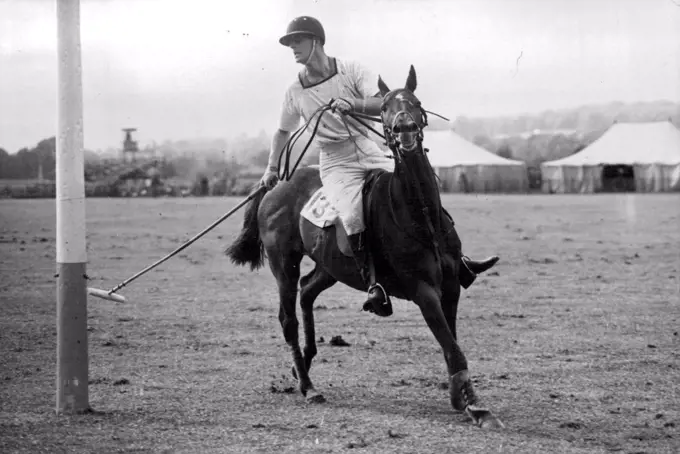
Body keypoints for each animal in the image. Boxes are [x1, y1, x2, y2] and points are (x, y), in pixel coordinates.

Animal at [226, 64, 502, 430]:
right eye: (383, 107)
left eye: (415, 102)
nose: (404, 129)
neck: (421, 215)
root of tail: (272, 185)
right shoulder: (422, 290)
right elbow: (452, 345)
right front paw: (478, 408)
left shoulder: (450, 286)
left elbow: (451, 343)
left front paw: (462, 397)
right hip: (283, 263)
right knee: (288, 316)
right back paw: (308, 385)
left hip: (331, 265)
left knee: (307, 290)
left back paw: (304, 365)